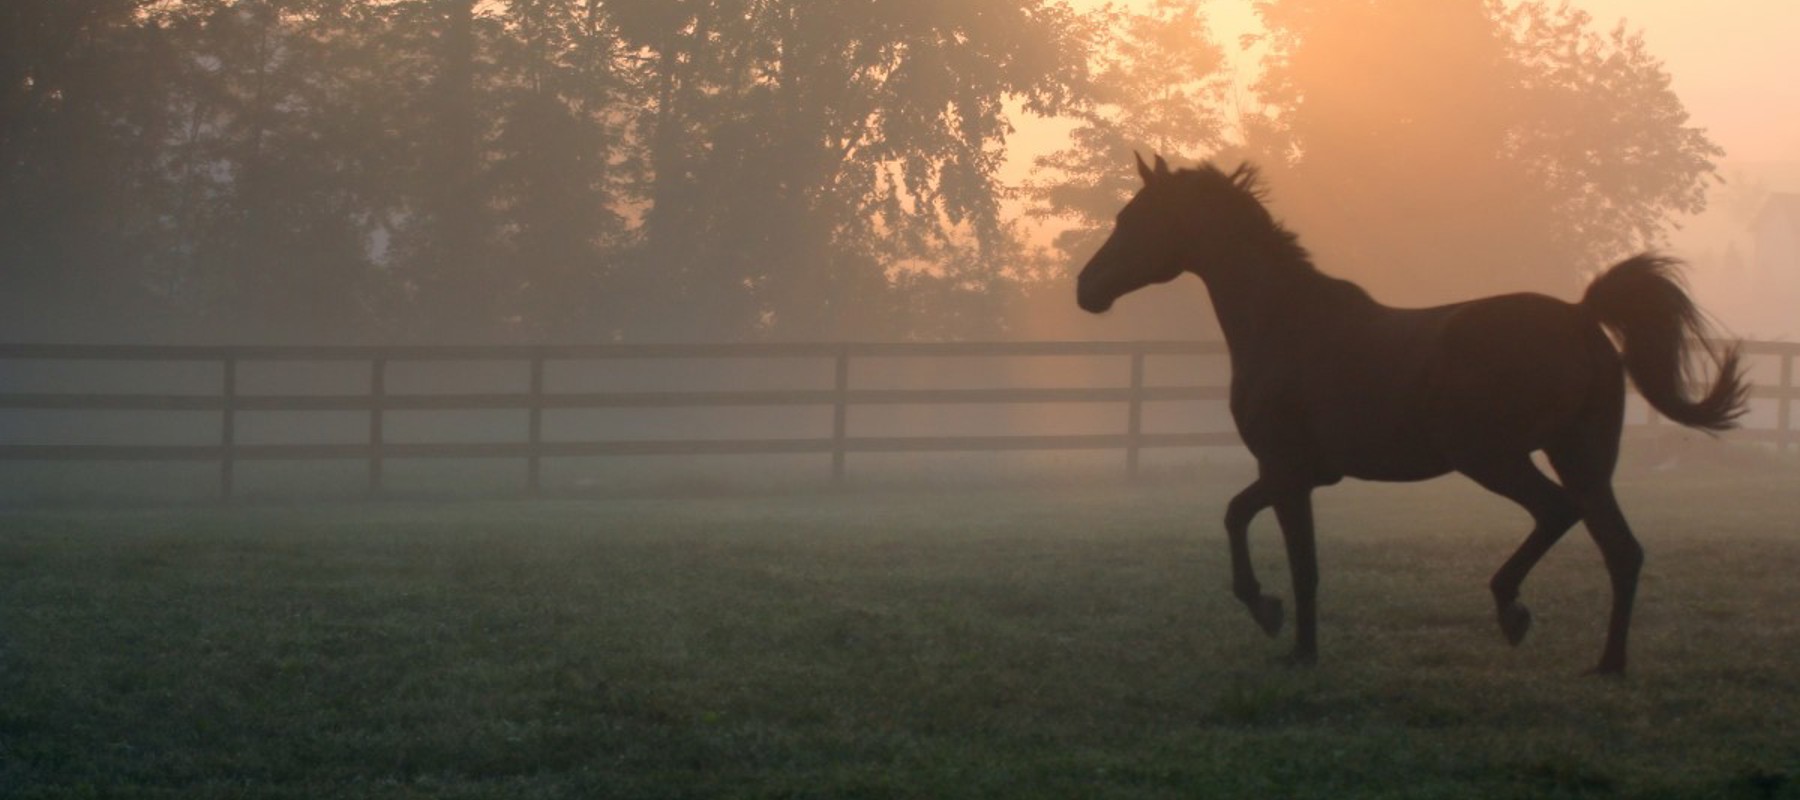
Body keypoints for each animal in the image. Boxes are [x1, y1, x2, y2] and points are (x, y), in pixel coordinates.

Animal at [1077, 154, 1747, 676]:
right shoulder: (1299, 472)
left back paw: (1512, 610)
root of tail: (1582, 317)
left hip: (1494, 457)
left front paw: (1297, 646)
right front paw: (1268, 612)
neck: (1285, 323)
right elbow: (1238, 515)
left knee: (1558, 513)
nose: (1087, 288)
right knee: (1621, 549)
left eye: (1136, 219)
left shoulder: (1287, 470)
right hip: (1582, 458)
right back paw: (1608, 663)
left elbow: (1300, 562)